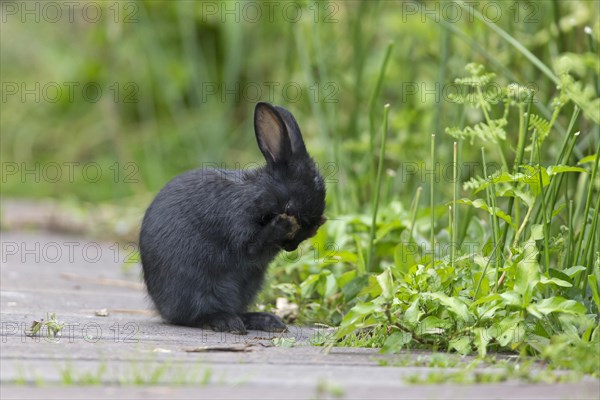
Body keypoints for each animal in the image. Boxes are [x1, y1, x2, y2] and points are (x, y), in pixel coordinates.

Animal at [139, 102, 328, 334]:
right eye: (290, 206)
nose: (291, 247)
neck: (258, 195)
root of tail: (161, 307)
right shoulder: (239, 228)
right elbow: (252, 246)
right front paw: (283, 224)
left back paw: (266, 321)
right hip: (194, 288)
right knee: (193, 316)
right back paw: (227, 322)